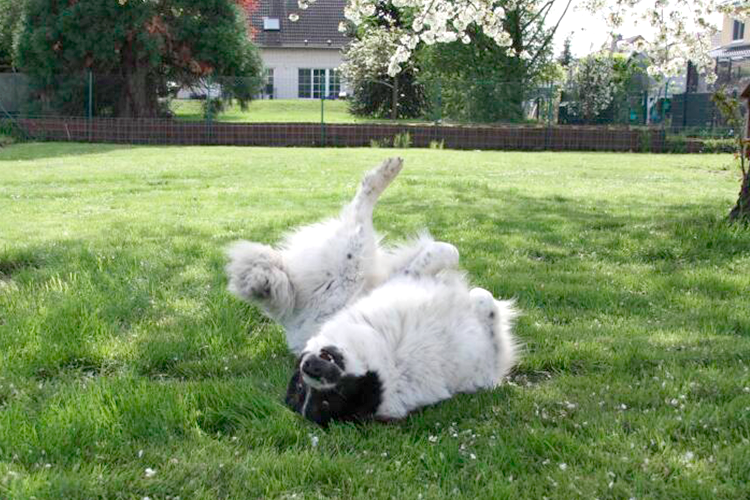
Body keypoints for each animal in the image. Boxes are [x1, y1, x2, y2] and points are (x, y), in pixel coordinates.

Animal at [284, 270, 520, 426]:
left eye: (299, 385)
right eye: (328, 401)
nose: (310, 368)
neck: (391, 358)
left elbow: (478, 294)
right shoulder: (487, 366)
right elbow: (487, 309)